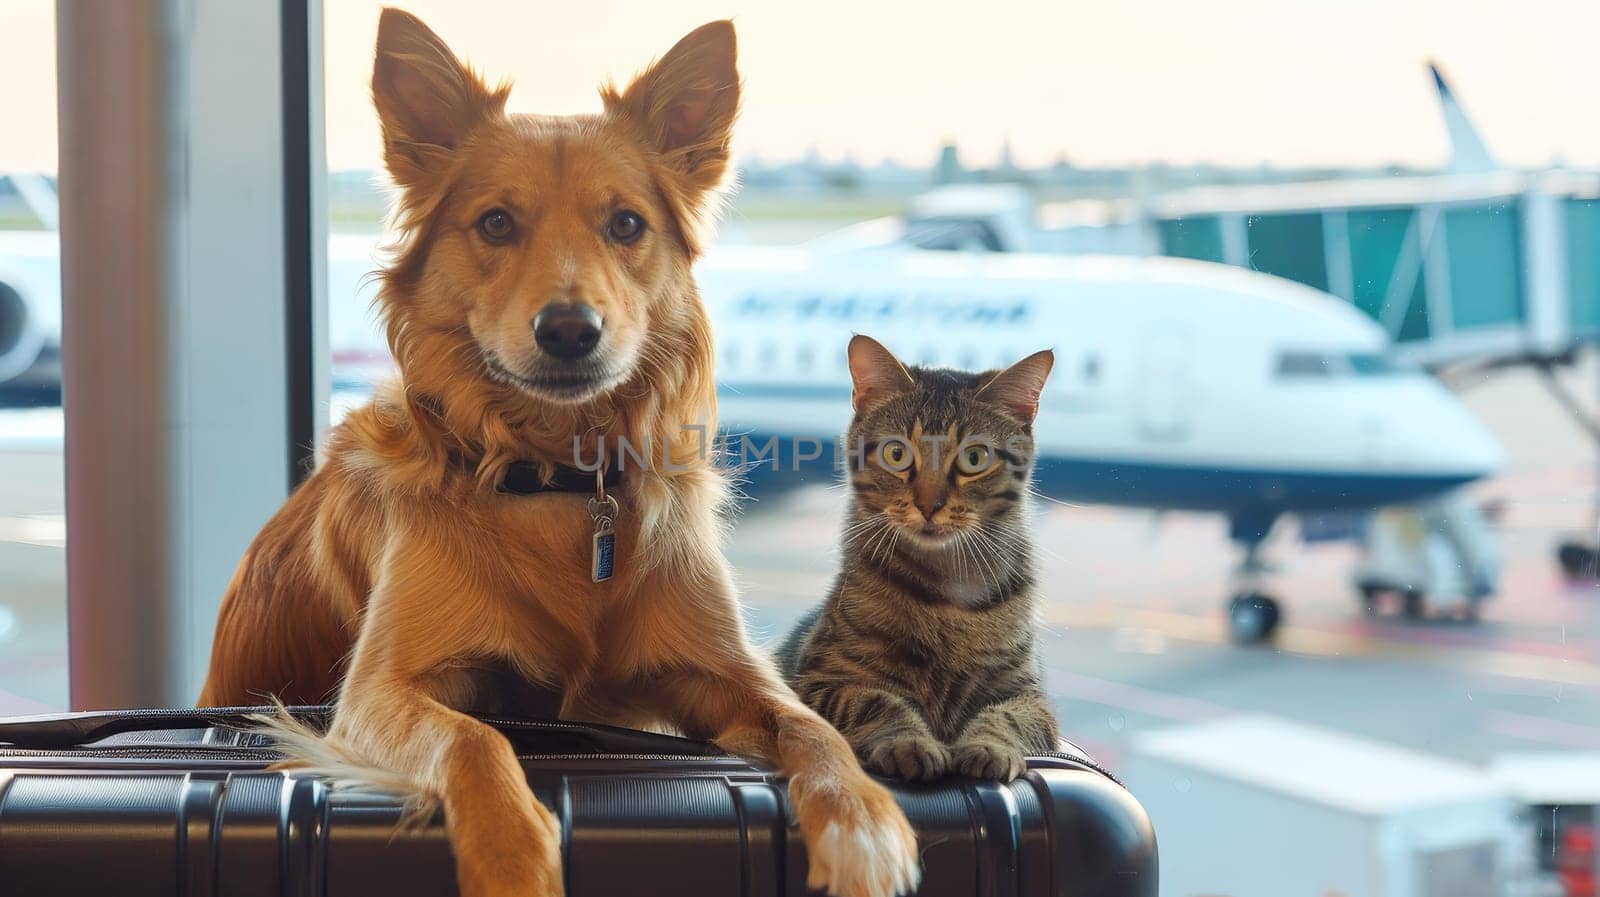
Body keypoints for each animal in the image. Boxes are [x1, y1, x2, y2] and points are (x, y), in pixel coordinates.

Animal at [198, 12, 921, 895]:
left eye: (627, 225)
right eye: (495, 223)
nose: (571, 329)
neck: (561, 480)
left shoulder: (729, 671)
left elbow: (812, 725)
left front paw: (863, 823)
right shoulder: (375, 693)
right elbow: (476, 736)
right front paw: (511, 854)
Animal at [777, 332, 1062, 780]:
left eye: (974, 458)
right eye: (896, 454)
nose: (930, 505)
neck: (948, 591)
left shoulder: (1027, 693)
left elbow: (1009, 717)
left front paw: (988, 746)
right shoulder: (822, 678)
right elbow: (875, 702)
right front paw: (908, 742)